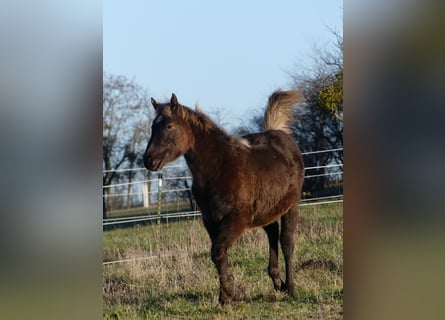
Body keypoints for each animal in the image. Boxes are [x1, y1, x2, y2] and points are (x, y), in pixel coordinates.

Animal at [144, 90, 304, 304]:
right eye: (153, 127)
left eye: (169, 126)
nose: (148, 160)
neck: (220, 169)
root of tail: (281, 135)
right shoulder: (210, 220)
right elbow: (219, 255)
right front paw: (227, 296)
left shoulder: (237, 220)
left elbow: (218, 252)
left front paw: (229, 293)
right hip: (266, 210)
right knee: (272, 234)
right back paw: (278, 282)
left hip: (291, 205)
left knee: (286, 242)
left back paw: (291, 288)